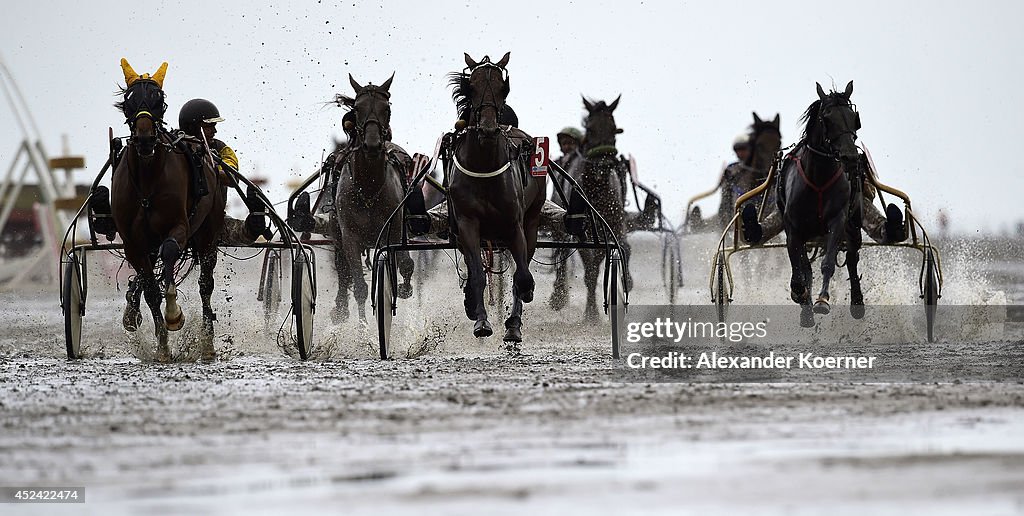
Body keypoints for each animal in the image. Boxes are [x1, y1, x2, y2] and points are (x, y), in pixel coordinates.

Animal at [111, 59, 225, 358]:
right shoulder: (134, 243)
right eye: (128, 101)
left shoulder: (179, 226)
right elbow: (150, 288)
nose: (145, 139)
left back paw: (207, 342)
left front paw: (174, 314)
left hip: (208, 233)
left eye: (159, 100)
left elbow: (171, 251)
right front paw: (162, 345)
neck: (147, 182)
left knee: (205, 284)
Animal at [327, 73, 411, 323]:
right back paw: (341, 308)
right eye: (357, 108)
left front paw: (403, 288)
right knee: (343, 271)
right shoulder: (350, 237)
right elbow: (359, 287)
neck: (369, 188)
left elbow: (404, 264)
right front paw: (363, 328)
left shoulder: (393, 229)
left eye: (387, 108)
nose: (372, 144)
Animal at [446, 51, 548, 341]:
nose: (489, 129)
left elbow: (522, 276)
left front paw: (520, 305)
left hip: (532, 219)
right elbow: (477, 276)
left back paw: (513, 324)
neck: (484, 167)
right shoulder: (467, 223)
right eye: (472, 86)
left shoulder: (514, 225)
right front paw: (480, 320)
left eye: (504, 87)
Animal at [552, 93, 630, 319]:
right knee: (560, 253)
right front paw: (591, 313)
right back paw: (558, 296)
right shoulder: (581, 230)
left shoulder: (613, 228)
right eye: (590, 129)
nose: (603, 166)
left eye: (614, 128)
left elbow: (599, 263)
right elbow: (590, 269)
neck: (596, 191)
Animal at [778, 80, 860, 325]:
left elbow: (828, 263)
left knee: (852, 257)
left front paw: (822, 300)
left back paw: (857, 302)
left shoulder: (837, 220)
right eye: (827, 118)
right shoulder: (793, 228)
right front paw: (800, 295)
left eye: (853, 118)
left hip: (854, 222)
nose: (851, 157)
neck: (819, 178)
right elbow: (800, 272)